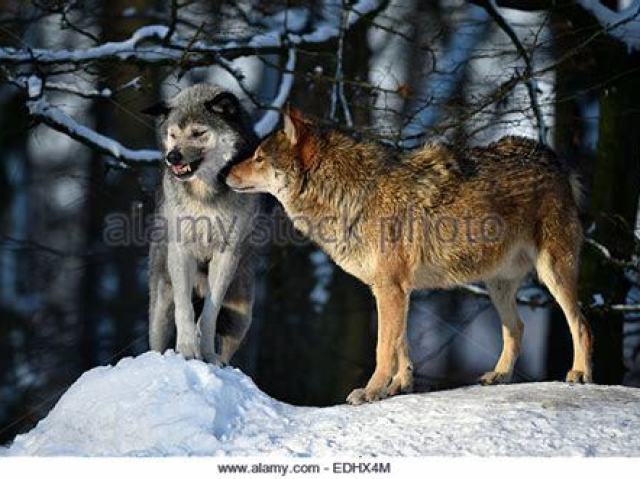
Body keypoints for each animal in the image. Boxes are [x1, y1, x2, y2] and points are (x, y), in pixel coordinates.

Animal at [146, 84, 260, 366]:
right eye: (173, 135)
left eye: (198, 133)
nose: (172, 156)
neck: (204, 195)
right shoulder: (181, 250)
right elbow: (186, 310)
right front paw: (187, 351)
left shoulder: (226, 254)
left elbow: (209, 313)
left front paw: (205, 354)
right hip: (160, 310)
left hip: (242, 317)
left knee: (227, 348)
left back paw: (219, 362)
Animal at [226, 108, 596, 404]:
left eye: (258, 157)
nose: (224, 174)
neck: (353, 193)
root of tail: (553, 157)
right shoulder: (393, 289)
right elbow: (400, 345)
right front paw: (398, 387)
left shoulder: (391, 288)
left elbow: (383, 348)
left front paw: (370, 391)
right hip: (497, 285)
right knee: (517, 327)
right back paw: (499, 375)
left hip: (552, 271)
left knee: (581, 324)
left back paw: (580, 374)